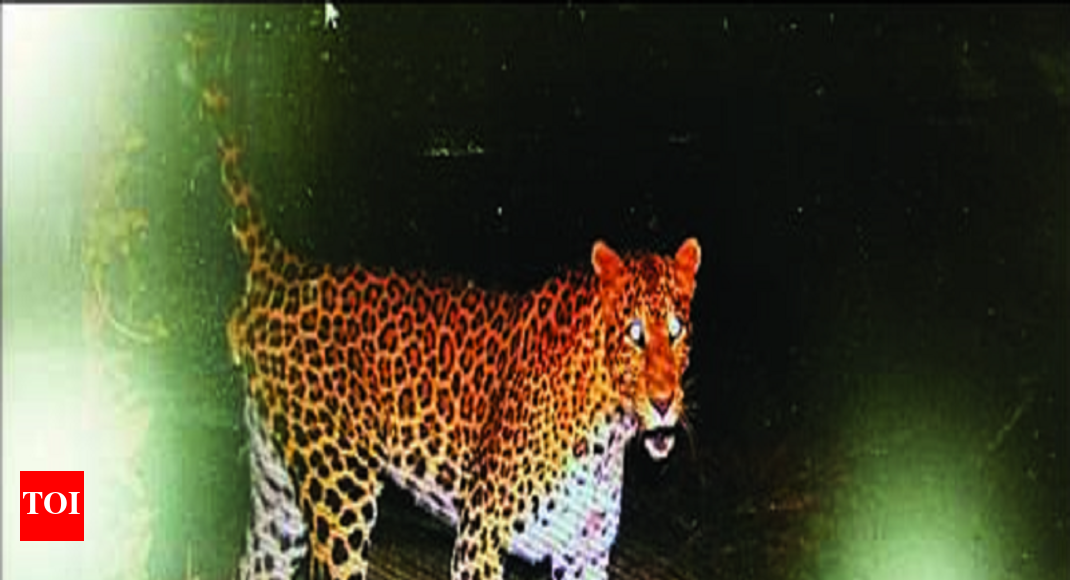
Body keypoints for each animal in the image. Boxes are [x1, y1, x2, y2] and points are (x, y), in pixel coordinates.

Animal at [217, 134, 701, 580]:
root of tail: (284, 268)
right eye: (634, 334)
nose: (663, 402)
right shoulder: (480, 537)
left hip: (278, 505)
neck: (609, 431)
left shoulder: (584, 557)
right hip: (341, 493)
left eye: (676, 330)